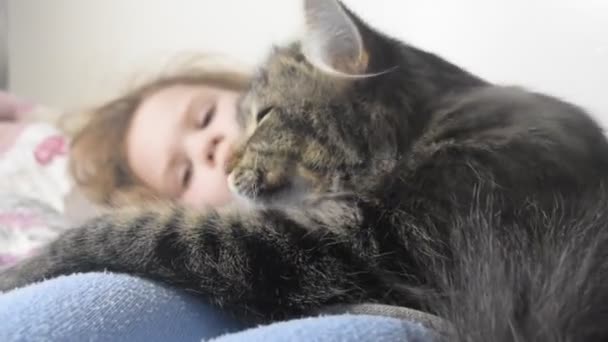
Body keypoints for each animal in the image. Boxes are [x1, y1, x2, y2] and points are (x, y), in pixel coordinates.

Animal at [1, 0, 608, 340]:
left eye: (263, 116)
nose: (225, 163)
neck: (425, 129)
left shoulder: (362, 247)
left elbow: (132, 231)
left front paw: (22, 270)